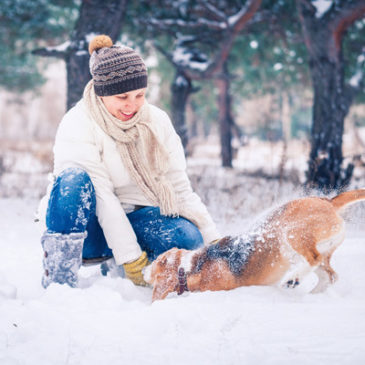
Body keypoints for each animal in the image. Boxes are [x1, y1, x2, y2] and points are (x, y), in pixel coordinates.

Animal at [144, 186, 364, 300]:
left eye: (156, 263)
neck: (190, 266)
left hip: (291, 235)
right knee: (330, 275)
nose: (144, 269)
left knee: (313, 258)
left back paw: (293, 280)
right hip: (309, 252)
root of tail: (329, 202)